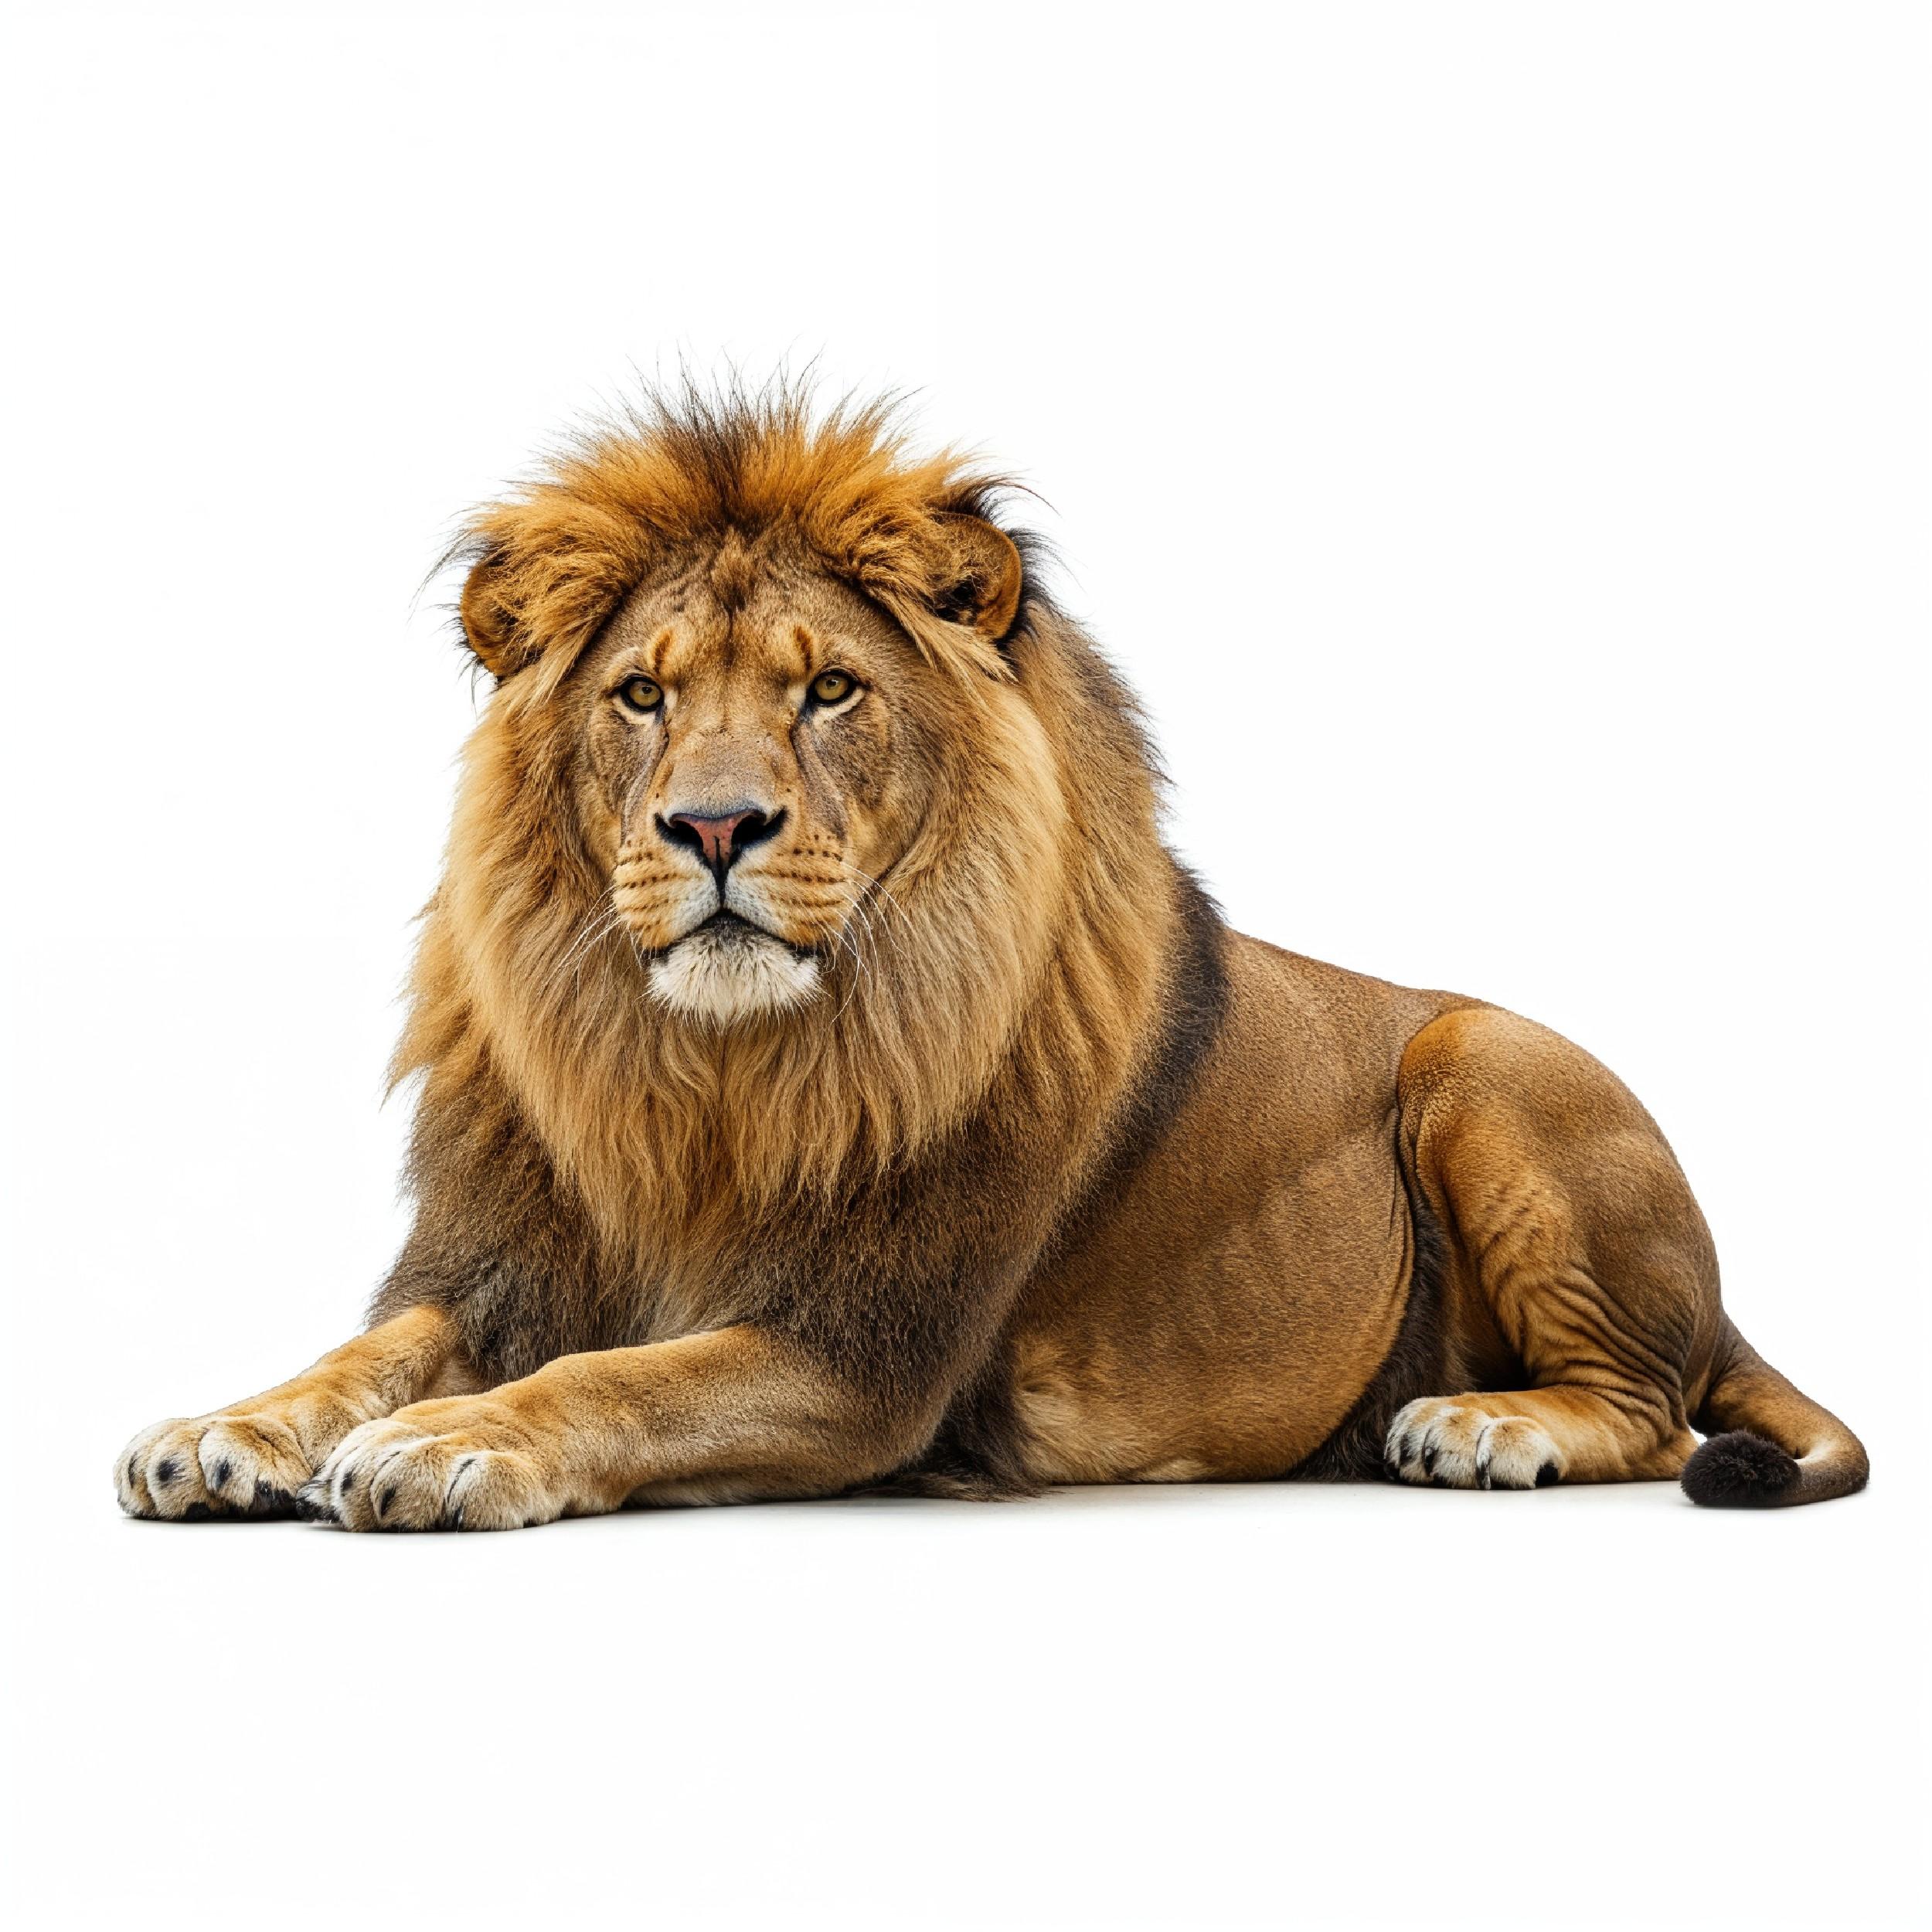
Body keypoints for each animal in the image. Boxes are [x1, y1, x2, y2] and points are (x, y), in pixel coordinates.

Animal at [115, 384, 1868, 1530]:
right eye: (643, 695)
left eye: (827, 690)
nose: (714, 826)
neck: (698, 1071)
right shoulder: (500, 1260)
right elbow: (364, 1350)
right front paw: (222, 1428)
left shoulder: (860, 1356)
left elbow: (617, 1381)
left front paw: (449, 1446)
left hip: (1489, 1062)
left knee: (1650, 1405)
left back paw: (1485, 1428)